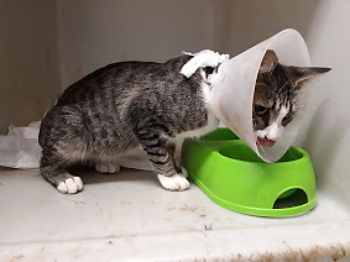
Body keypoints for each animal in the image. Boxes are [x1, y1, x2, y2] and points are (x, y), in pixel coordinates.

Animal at [39, 49, 330, 193]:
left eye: (287, 117)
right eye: (260, 109)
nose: (272, 138)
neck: (208, 90)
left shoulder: (167, 132)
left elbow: (167, 148)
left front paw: (177, 169)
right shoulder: (143, 115)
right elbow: (158, 153)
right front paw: (170, 177)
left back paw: (104, 161)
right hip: (72, 132)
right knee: (46, 161)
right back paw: (64, 177)